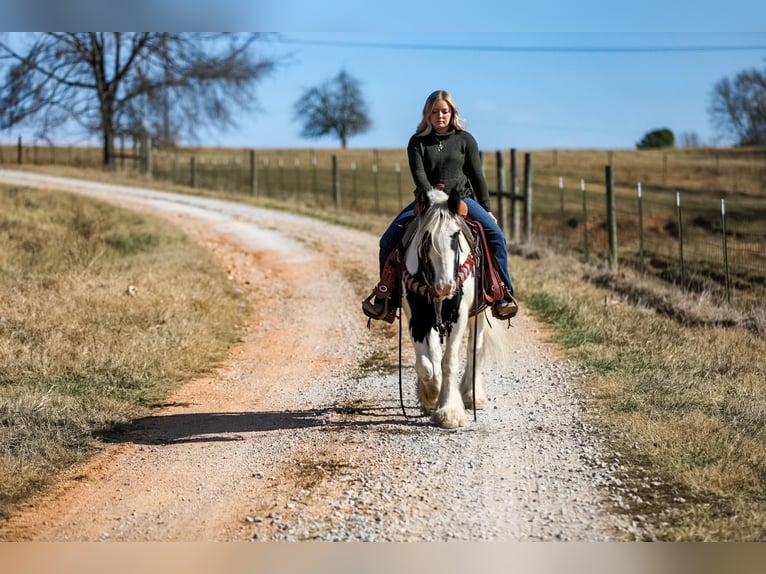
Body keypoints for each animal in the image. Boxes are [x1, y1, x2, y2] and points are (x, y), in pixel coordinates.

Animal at [402, 187, 504, 430]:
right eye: (426, 238)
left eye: (456, 236)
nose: (445, 285)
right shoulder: (416, 318)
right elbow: (426, 364)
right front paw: (431, 395)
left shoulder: (459, 317)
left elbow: (449, 362)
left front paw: (448, 412)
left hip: (479, 314)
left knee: (474, 349)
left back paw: (471, 395)